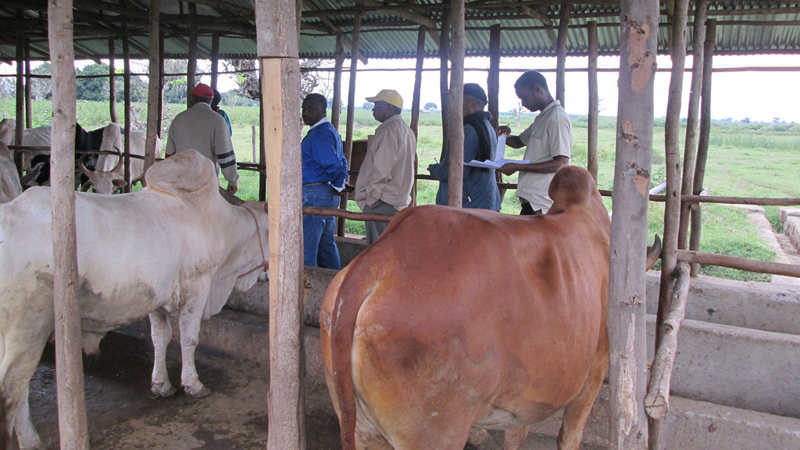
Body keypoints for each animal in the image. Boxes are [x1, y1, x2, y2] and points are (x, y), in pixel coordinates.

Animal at [0, 150, 269, 449]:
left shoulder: (156, 298)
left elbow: (160, 339)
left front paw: (162, 385)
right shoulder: (198, 288)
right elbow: (189, 338)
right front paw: (193, 384)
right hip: (28, 332)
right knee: (12, 391)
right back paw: (30, 440)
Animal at [321, 166, 613, 450]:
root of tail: (380, 258)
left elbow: (517, 432)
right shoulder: (596, 368)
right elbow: (569, 435)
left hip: (362, 425)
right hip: (436, 431)